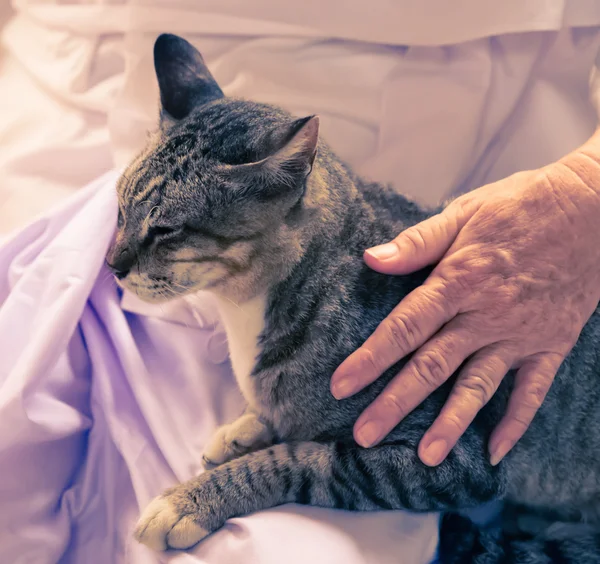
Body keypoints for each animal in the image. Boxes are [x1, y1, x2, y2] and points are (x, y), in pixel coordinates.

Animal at [106, 33, 600, 560]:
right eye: (119, 209)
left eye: (166, 230)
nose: (111, 265)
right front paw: (247, 426)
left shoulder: (452, 458)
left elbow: (301, 459)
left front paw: (194, 499)